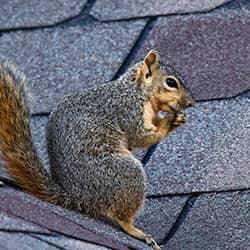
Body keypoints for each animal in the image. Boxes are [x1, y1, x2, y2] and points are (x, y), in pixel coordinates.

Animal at [0, 49, 193, 249]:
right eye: (171, 82)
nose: (190, 103)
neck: (135, 90)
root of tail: (78, 197)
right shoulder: (128, 112)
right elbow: (140, 137)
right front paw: (170, 121)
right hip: (125, 173)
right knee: (121, 217)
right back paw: (137, 232)